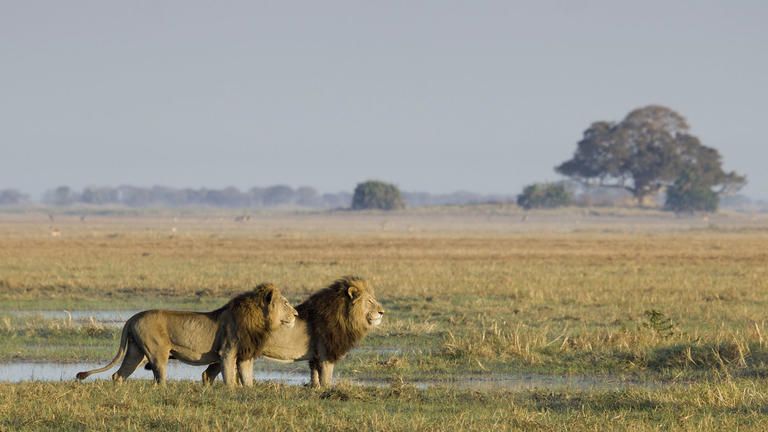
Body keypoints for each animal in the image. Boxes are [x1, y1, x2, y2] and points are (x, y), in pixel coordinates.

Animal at [75, 283, 297, 387]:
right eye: (286, 302)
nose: (296, 314)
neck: (260, 320)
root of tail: (133, 317)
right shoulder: (227, 352)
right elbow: (229, 379)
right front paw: (231, 393)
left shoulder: (245, 356)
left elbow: (247, 380)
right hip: (157, 353)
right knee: (159, 378)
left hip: (135, 352)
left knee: (118, 374)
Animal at [202, 275, 384, 387]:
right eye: (370, 301)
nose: (382, 312)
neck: (345, 315)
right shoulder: (326, 354)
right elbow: (326, 377)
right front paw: (327, 390)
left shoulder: (316, 356)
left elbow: (315, 375)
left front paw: (315, 389)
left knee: (209, 372)